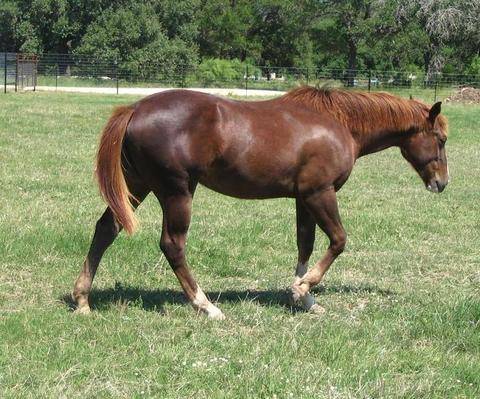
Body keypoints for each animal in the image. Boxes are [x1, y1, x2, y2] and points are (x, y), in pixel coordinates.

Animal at [72, 86, 450, 318]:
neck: (338, 123)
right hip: (176, 191)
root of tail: (135, 108)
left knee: (106, 230)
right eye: (441, 138)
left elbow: (304, 245)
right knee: (172, 245)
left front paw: (302, 296)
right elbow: (338, 241)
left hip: (137, 187)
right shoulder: (320, 193)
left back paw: (82, 299)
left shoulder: (303, 199)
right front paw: (305, 288)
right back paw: (205, 305)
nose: (442, 183)